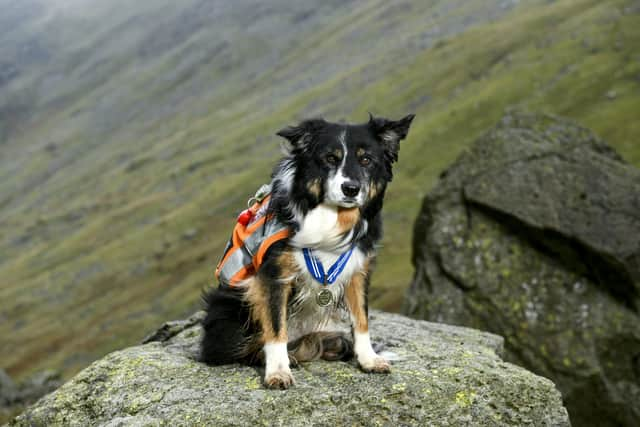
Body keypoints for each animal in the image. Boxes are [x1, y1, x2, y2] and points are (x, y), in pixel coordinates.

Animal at [202, 113, 418, 388]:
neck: (333, 217)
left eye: (366, 159)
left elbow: (361, 319)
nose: (351, 188)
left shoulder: (357, 270)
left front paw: (368, 359)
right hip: (229, 320)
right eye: (330, 158)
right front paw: (278, 371)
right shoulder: (273, 275)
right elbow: (275, 327)